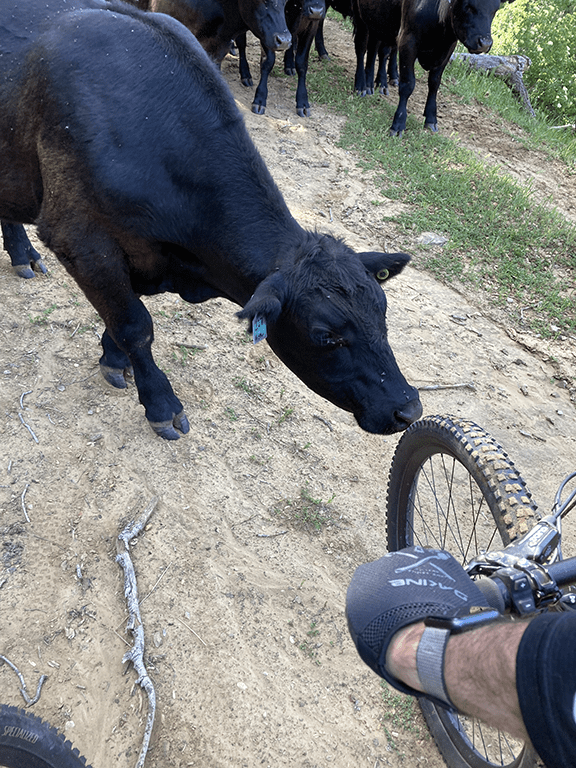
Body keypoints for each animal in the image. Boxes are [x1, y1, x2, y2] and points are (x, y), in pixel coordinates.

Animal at [1, 0, 424, 438]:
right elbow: (136, 325)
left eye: (383, 310)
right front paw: (160, 402)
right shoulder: (80, 240)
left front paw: (113, 359)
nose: (408, 408)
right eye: (325, 335)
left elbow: (127, 315)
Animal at [354, 0, 516, 135]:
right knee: (362, 48)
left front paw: (431, 118)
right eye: (468, 6)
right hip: (361, 17)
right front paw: (398, 123)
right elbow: (407, 84)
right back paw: (361, 86)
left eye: (495, 10)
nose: (485, 43)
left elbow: (434, 83)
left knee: (375, 49)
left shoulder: (448, 48)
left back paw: (373, 84)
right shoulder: (407, 41)